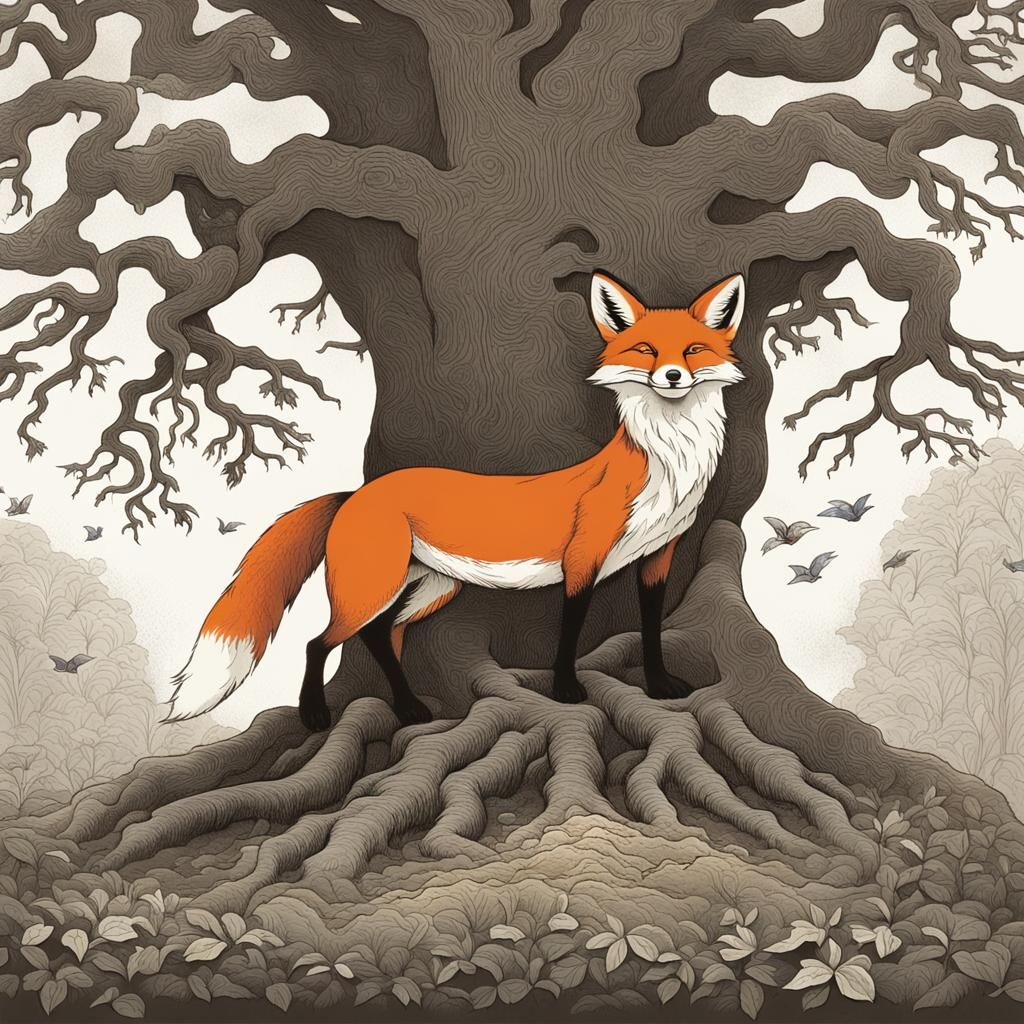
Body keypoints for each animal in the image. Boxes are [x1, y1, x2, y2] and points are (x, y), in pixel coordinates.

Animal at [165, 270, 746, 730]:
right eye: (646, 350)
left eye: (693, 350)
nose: (672, 375)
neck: (668, 468)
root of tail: (357, 491)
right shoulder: (583, 558)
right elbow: (569, 631)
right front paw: (566, 691)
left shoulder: (660, 555)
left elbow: (651, 627)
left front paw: (660, 684)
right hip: (374, 586)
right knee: (320, 642)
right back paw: (316, 715)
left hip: (432, 587)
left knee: (382, 636)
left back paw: (407, 709)